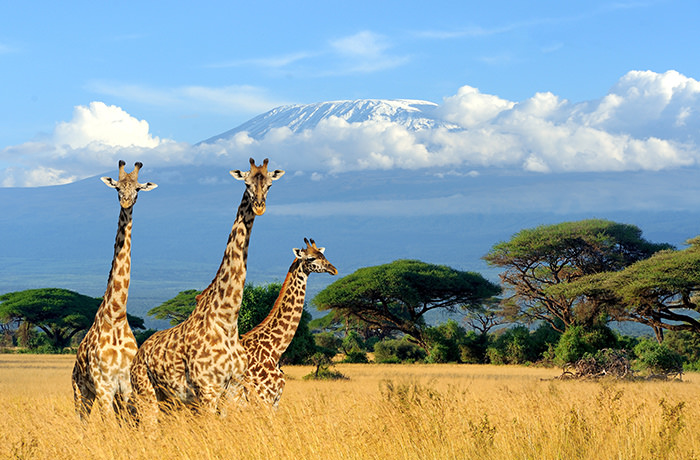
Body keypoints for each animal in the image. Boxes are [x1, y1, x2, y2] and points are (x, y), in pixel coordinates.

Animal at [71, 160, 157, 418]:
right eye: (117, 187)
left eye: (138, 189)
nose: (126, 202)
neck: (116, 315)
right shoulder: (104, 386)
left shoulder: (126, 386)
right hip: (81, 392)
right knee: (81, 420)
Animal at [129, 156, 284, 418]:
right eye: (247, 183)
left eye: (270, 184)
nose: (259, 206)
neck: (227, 320)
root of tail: (139, 353)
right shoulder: (208, 390)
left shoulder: (233, 390)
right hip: (146, 394)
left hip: (170, 402)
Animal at [232, 239, 336, 408]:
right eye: (311, 258)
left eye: (323, 255)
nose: (334, 269)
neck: (274, 350)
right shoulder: (263, 399)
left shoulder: (274, 401)